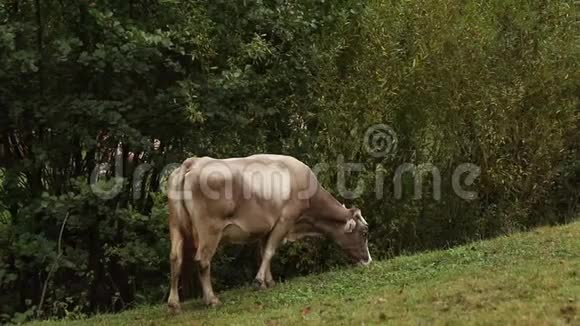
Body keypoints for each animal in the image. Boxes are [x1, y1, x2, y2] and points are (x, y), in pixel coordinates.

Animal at [165, 154, 372, 312]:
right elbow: (270, 251)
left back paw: (174, 304)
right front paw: (259, 282)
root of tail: (193, 162)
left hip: (175, 225)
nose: (369, 261)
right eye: (364, 233)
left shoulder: (266, 228)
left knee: (175, 258)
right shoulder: (284, 221)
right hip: (210, 230)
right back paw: (212, 299)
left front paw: (268, 281)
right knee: (203, 261)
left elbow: (264, 251)